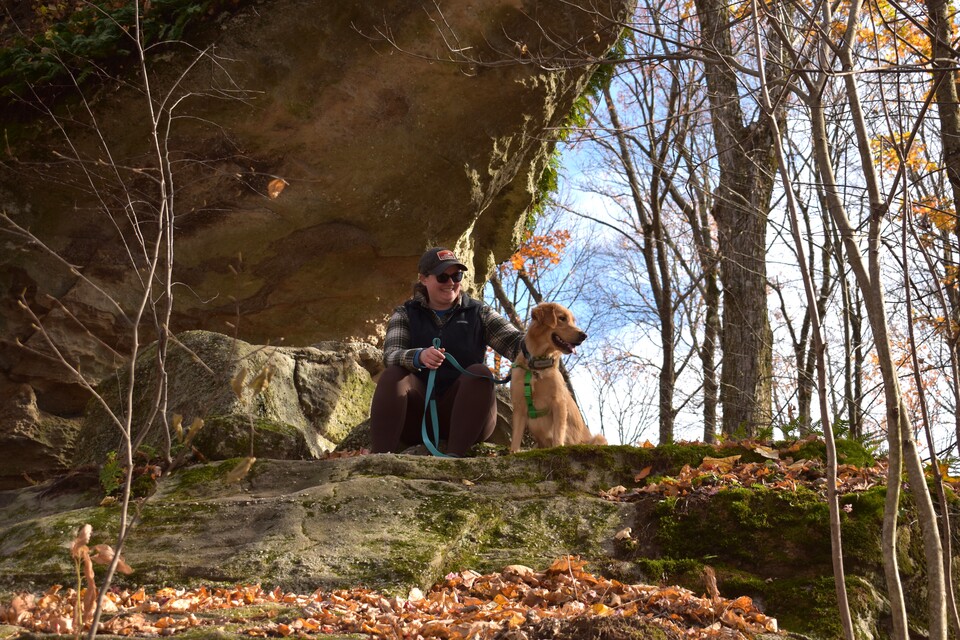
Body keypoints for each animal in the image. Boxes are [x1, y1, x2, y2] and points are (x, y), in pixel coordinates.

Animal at [510, 302, 608, 452]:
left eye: (573, 321)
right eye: (562, 318)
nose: (584, 335)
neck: (537, 367)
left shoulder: (559, 402)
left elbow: (558, 433)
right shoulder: (519, 406)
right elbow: (515, 439)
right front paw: (513, 452)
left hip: (599, 438)